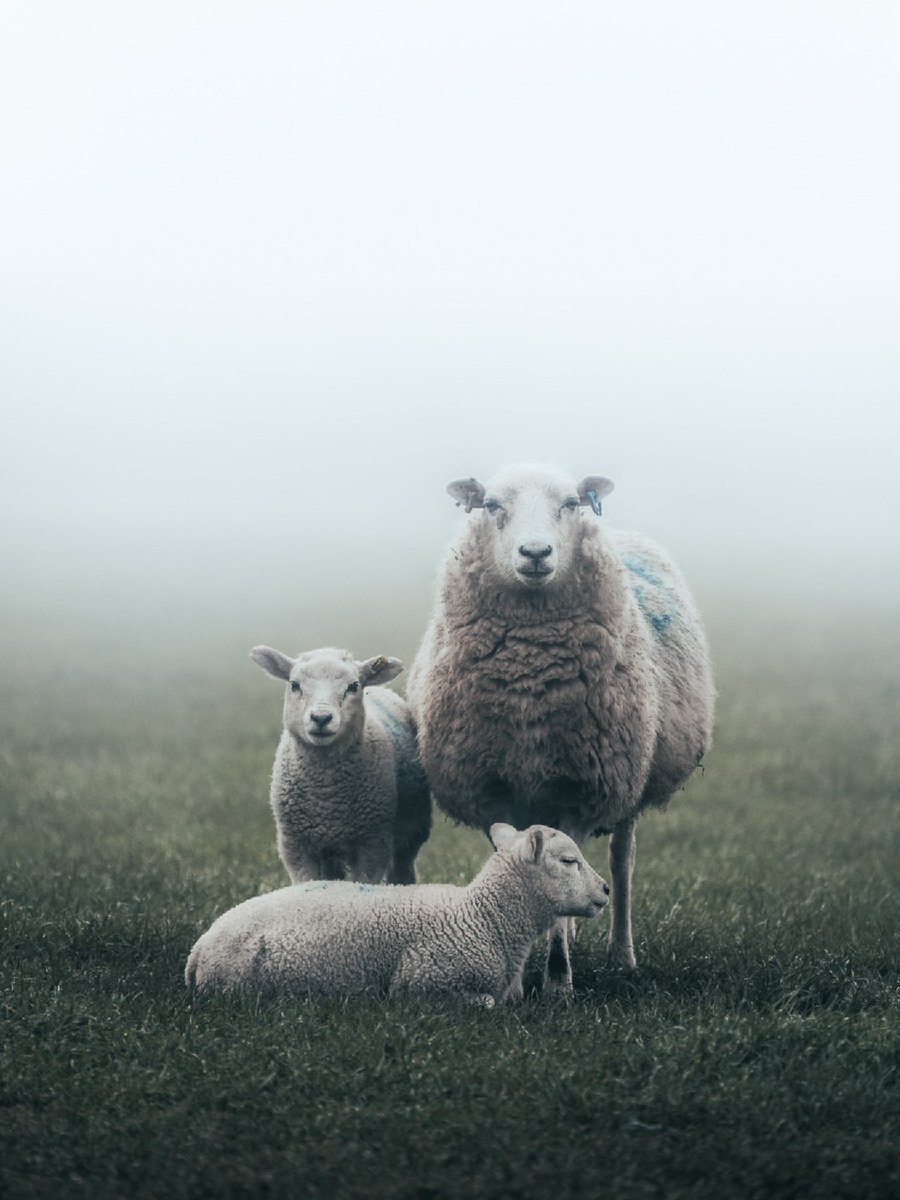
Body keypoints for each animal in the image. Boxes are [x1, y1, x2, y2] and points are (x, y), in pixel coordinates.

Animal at [185, 823, 609, 1003]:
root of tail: (199, 948)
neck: (484, 915)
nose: (606, 890)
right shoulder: (422, 982)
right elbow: (487, 1003)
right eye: (568, 861)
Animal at [250, 645, 431, 885]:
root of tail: (381, 690)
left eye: (353, 686)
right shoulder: (294, 845)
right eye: (294, 685)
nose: (321, 718)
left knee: (403, 866)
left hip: (413, 828)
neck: (326, 796)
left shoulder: (373, 843)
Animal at [406, 463, 715, 988]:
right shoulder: (494, 790)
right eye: (491, 505)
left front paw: (557, 979)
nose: (535, 553)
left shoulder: (582, 788)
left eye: (571, 503)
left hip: (628, 780)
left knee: (621, 862)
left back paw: (621, 954)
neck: (530, 673)